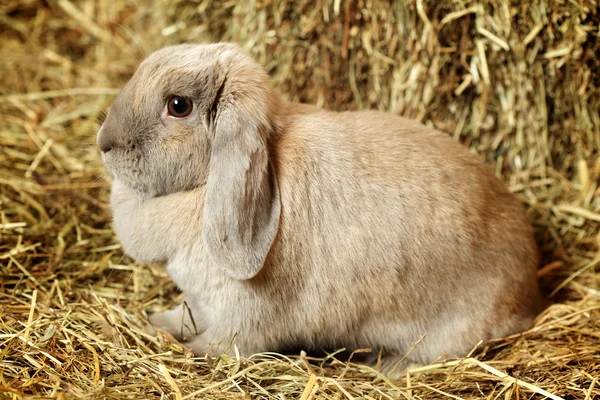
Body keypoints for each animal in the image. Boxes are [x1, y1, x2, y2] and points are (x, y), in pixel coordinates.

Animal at [97, 43, 544, 376]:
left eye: (178, 105)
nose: (104, 143)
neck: (206, 184)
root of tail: (529, 291)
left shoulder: (239, 319)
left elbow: (220, 345)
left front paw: (181, 346)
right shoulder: (199, 298)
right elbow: (184, 314)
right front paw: (156, 323)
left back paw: (386, 365)